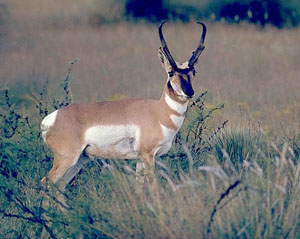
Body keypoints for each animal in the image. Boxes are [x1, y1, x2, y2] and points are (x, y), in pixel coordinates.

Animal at [40, 22, 206, 190]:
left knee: (59, 186)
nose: (189, 92)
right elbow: (153, 186)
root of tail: (50, 120)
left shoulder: (139, 158)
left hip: (79, 160)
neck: (159, 112)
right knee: (46, 182)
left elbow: (139, 185)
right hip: (68, 159)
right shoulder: (148, 155)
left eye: (194, 71)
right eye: (170, 72)